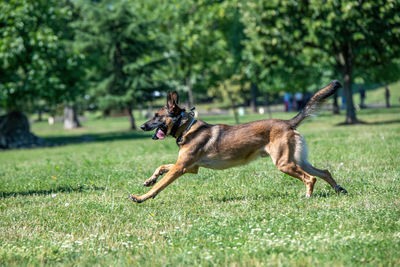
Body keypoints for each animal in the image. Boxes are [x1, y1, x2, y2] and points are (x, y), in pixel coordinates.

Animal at [129, 80, 346, 204]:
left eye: (157, 116)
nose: (141, 126)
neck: (187, 127)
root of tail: (287, 122)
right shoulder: (190, 167)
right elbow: (161, 167)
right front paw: (149, 180)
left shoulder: (181, 168)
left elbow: (161, 185)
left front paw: (141, 198)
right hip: (298, 160)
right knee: (324, 172)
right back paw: (339, 189)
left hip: (284, 163)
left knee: (311, 178)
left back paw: (308, 197)